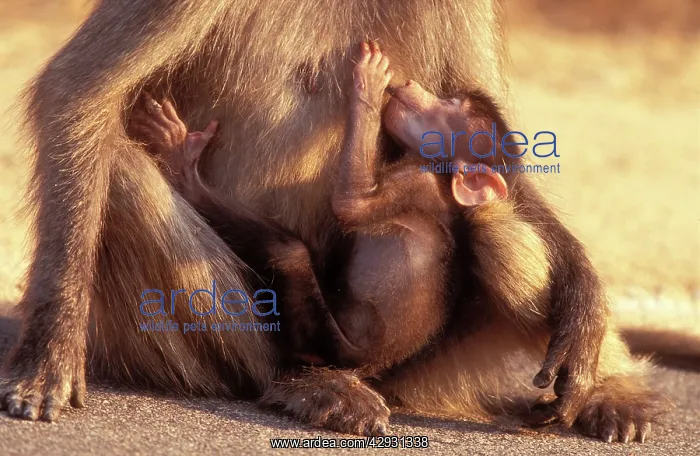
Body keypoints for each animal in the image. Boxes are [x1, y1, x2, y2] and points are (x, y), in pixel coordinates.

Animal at [0, 0, 666, 442]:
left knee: (496, 222)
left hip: (433, 368)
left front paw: (584, 303)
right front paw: (49, 355)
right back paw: (300, 381)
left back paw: (611, 391)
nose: (409, 97)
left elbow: (506, 163)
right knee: (118, 163)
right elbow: (81, 93)